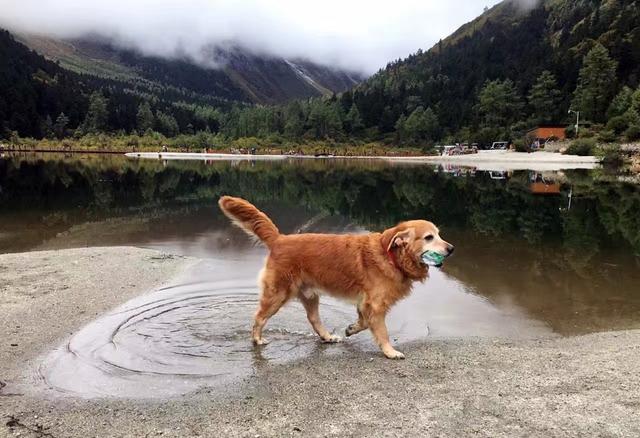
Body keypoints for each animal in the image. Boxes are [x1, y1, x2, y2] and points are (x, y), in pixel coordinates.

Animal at [220, 196, 456, 360]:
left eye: (439, 234)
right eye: (429, 237)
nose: (452, 248)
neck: (392, 257)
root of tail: (280, 239)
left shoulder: (365, 302)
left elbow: (363, 322)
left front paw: (351, 329)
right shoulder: (375, 304)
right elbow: (382, 331)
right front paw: (390, 351)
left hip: (309, 294)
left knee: (313, 319)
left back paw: (327, 336)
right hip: (278, 293)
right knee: (259, 317)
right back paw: (257, 339)